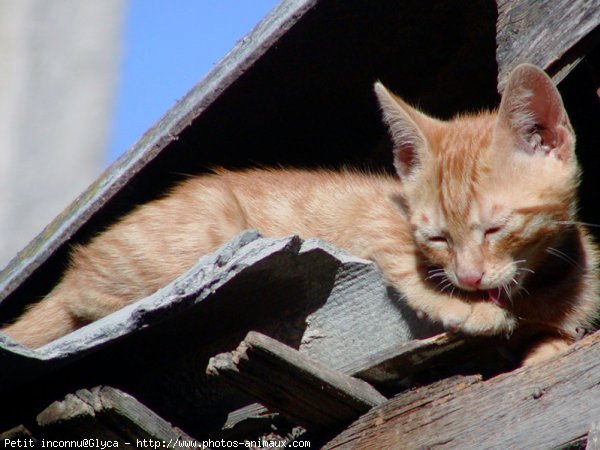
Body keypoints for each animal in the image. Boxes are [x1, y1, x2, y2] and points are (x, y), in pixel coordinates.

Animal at [2, 64, 596, 366]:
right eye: (436, 238)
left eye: (495, 228)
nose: (469, 278)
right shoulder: (378, 226)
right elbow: (406, 271)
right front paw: (472, 310)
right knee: (97, 301)